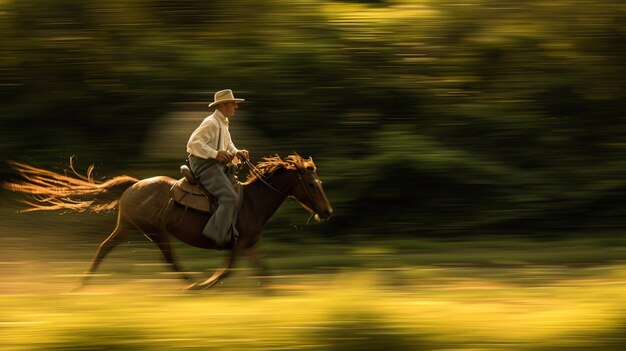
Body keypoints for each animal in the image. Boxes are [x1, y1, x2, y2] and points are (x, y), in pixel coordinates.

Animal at [3, 155, 332, 290]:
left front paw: (272, 294)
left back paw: (82, 284)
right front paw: (205, 285)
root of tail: (133, 186)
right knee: (169, 260)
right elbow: (226, 271)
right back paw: (191, 283)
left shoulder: (252, 245)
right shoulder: (238, 245)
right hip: (154, 232)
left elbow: (264, 272)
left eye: (320, 183)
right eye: (311, 184)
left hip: (129, 229)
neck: (251, 202)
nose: (327, 212)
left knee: (104, 248)